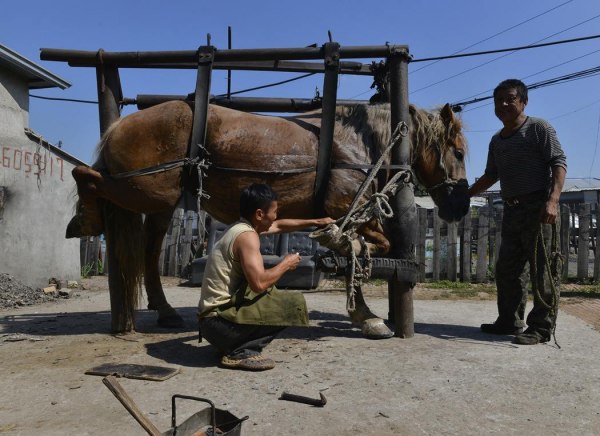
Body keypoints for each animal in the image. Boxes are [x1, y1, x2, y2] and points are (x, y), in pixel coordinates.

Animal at [65, 100, 468, 338]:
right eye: (460, 152)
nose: (461, 206)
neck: (363, 142)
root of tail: (120, 125)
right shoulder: (347, 211)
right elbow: (366, 248)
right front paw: (365, 313)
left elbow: (360, 251)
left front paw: (362, 311)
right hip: (143, 190)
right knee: (87, 176)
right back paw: (84, 219)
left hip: (159, 201)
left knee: (148, 251)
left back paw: (164, 310)